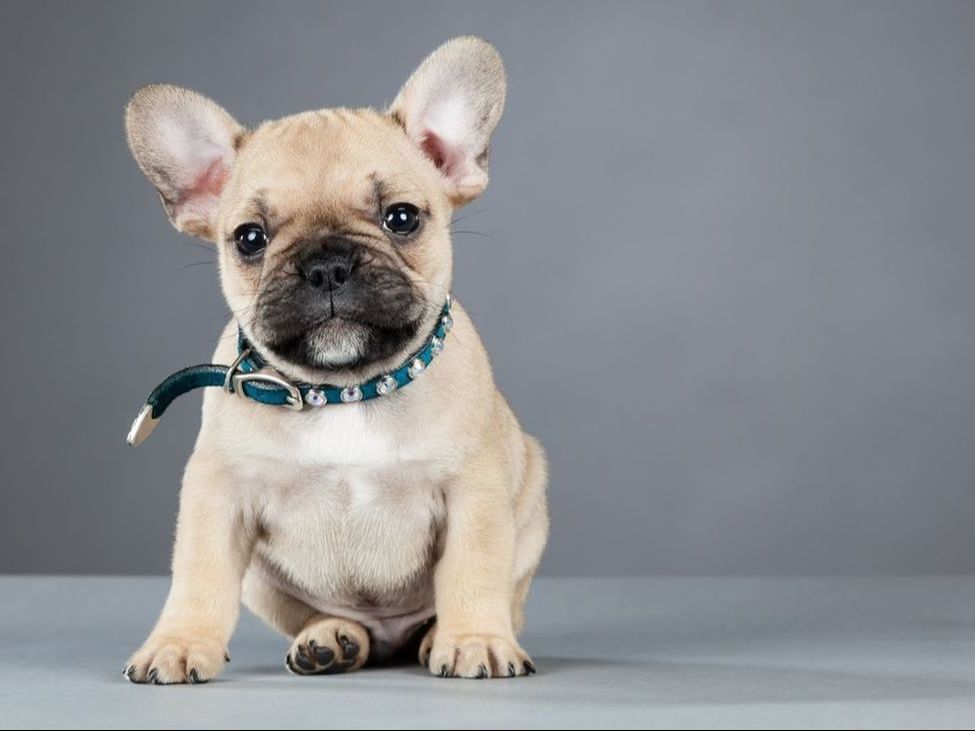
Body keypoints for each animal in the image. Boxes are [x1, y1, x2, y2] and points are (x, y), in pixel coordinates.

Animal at [122, 37, 548, 684]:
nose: (326, 265)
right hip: (265, 585)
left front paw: (475, 639)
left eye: (402, 217)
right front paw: (179, 643)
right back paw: (330, 640)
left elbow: (471, 571)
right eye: (250, 238)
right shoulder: (217, 494)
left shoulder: (473, 493)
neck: (342, 390)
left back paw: (434, 636)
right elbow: (198, 575)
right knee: (311, 615)